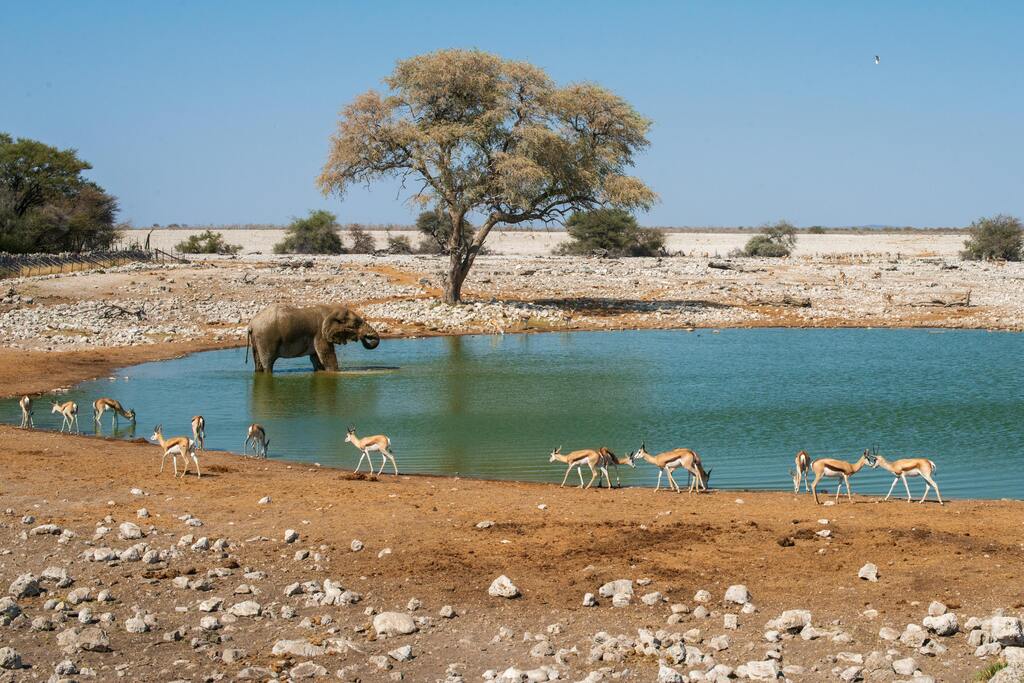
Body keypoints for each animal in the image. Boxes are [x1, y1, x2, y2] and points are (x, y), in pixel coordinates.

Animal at [246, 303, 380, 373]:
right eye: (356, 324)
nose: (363, 336)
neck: (332, 310)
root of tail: (251, 324)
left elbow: (316, 359)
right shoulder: (320, 334)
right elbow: (328, 358)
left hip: (257, 339)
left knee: (258, 362)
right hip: (266, 338)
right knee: (267, 363)